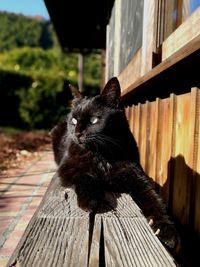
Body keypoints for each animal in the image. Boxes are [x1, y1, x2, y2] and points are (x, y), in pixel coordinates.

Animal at [50, 77, 180, 253]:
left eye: (94, 120)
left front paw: (166, 230)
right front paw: (94, 202)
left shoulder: (134, 173)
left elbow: (151, 196)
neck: (101, 154)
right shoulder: (68, 168)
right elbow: (86, 178)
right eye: (74, 121)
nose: (77, 133)